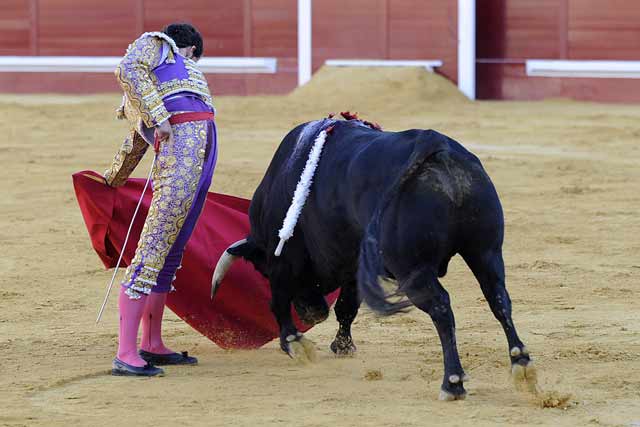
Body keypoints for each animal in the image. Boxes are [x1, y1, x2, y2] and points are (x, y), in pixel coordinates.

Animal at [212, 118, 536, 402]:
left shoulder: (284, 260)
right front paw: (342, 346)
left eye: (263, 271)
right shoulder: (353, 262)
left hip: (413, 268)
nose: (313, 314)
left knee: (442, 308)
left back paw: (452, 383)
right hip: (486, 252)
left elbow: (279, 301)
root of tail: (436, 144)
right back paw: (521, 365)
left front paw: (295, 344)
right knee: (498, 298)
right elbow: (347, 306)